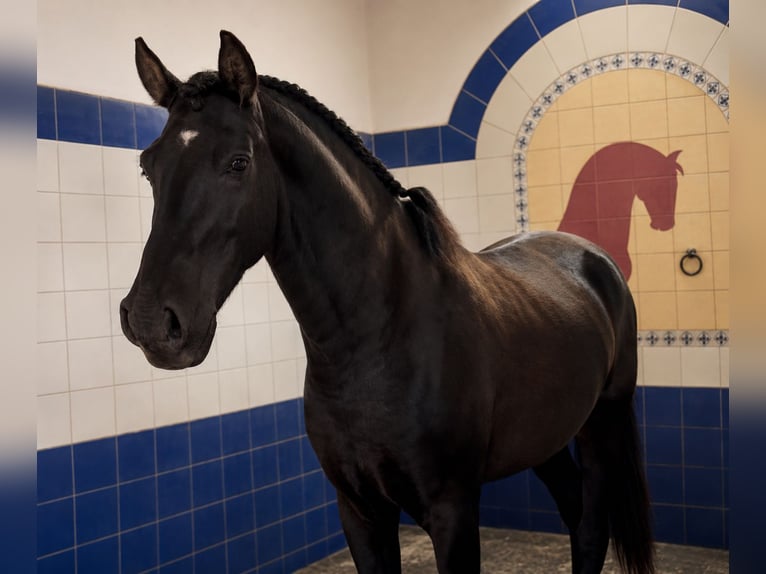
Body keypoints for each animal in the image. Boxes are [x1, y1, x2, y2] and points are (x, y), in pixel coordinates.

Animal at [120, 31, 654, 574]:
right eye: (147, 167)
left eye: (238, 162)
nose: (151, 321)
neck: (378, 336)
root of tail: (591, 256)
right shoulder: (360, 510)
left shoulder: (453, 510)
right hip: (545, 438)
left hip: (602, 424)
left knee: (591, 525)